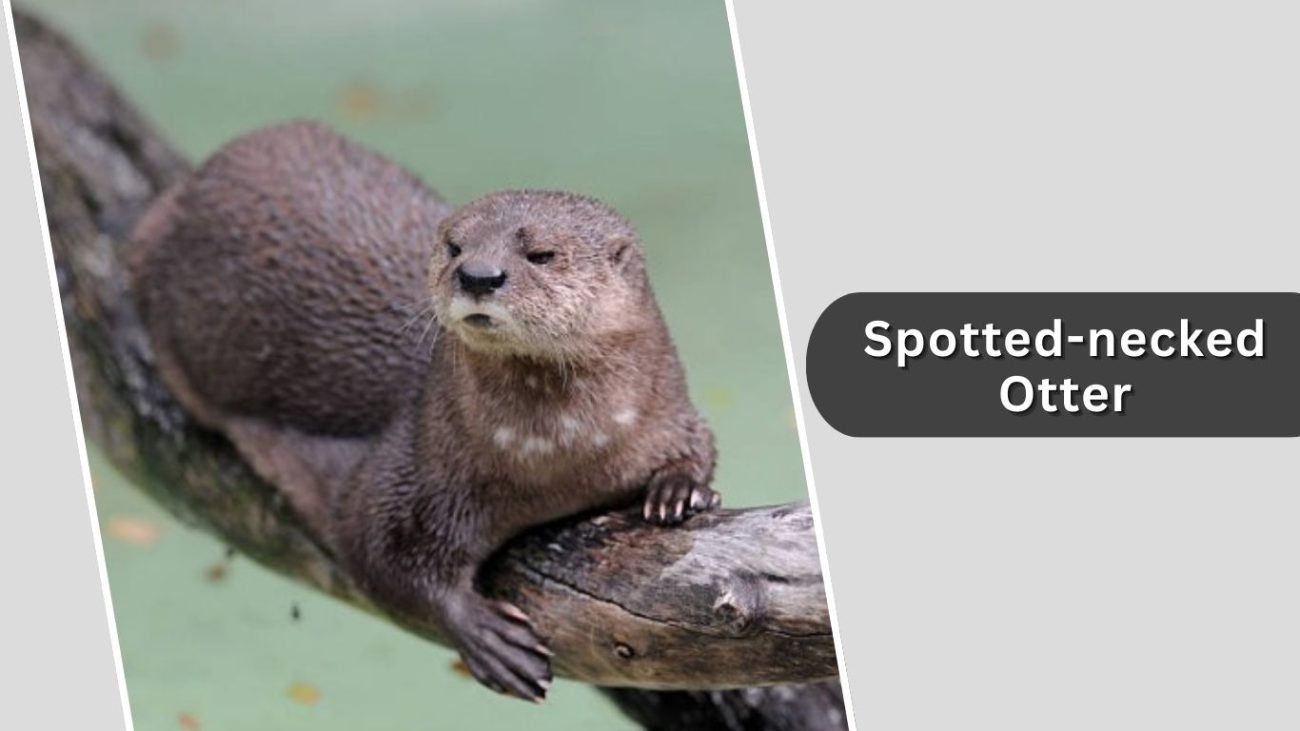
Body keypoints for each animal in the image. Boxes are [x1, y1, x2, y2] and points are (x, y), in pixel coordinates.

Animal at [127, 121, 719, 702]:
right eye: (454, 245)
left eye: (541, 254)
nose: (479, 274)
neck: (560, 460)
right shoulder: (419, 467)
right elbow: (377, 546)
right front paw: (484, 634)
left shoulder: (666, 413)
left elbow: (700, 444)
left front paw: (680, 490)